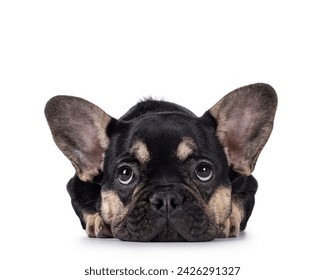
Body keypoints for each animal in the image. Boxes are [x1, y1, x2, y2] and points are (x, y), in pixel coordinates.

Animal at [44, 82, 274, 241]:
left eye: (203, 171)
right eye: (125, 174)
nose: (166, 198)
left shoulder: (248, 184)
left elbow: (238, 201)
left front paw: (228, 219)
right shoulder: (76, 184)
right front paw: (98, 218)